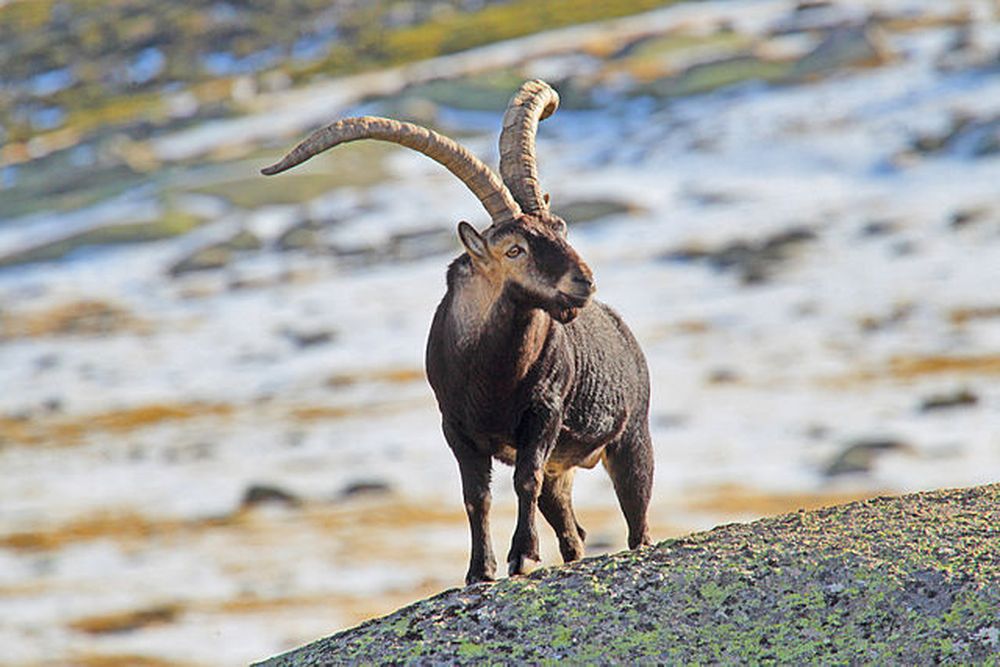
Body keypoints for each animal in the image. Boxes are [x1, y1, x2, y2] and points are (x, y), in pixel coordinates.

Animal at [262, 80, 654, 585]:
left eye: (559, 226)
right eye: (514, 249)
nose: (582, 281)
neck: (493, 375)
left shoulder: (543, 415)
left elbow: (522, 479)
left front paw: (522, 557)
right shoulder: (455, 427)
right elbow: (476, 496)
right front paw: (479, 570)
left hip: (632, 439)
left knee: (637, 519)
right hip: (563, 470)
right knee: (573, 532)